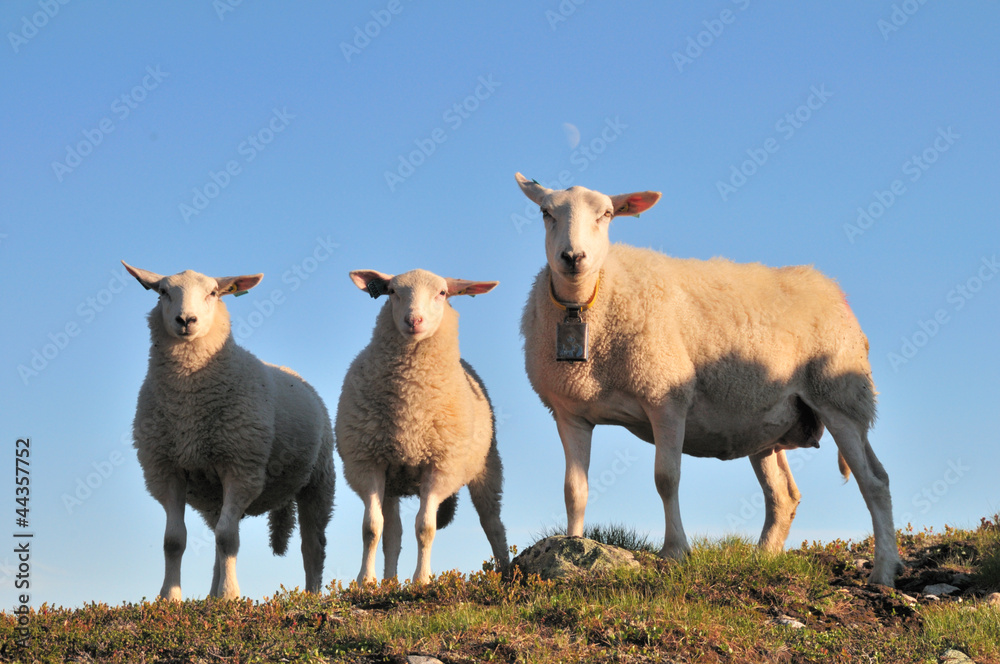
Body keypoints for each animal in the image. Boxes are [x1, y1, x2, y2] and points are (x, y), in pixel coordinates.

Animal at [123, 261, 335, 600]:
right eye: (163, 291)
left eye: (212, 293)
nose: (186, 320)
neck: (188, 403)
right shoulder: (166, 470)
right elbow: (174, 541)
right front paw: (169, 598)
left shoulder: (240, 467)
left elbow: (227, 538)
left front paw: (230, 595)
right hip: (214, 495)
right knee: (217, 543)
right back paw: (210, 595)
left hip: (318, 480)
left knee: (312, 546)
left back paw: (312, 594)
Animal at [336, 268, 509, 584]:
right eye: (392, 291)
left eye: (442, 293)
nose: (413, 320)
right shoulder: (368, 463)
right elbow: (372, 528)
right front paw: (366, 582)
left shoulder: (439, 466)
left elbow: (425, 528)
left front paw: (422, 580)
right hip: (391, 481)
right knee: (393, 534)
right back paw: (389, 582)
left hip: (487, 467)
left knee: (492, 523)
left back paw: (506, 570)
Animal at [514, 173, 902, 586]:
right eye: (546, 212)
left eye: (606, 214)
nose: (573, 258)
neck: (584, 303)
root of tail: (828, 285)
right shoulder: (570, 412)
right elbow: (575, 490)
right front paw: (572, 546)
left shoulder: (666, 396)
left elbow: (666, 478)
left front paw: (675, 551)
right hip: (766, 424)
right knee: (783, 495)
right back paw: (762, 560)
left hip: (841, 396)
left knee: (875, 482)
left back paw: (883, 572)